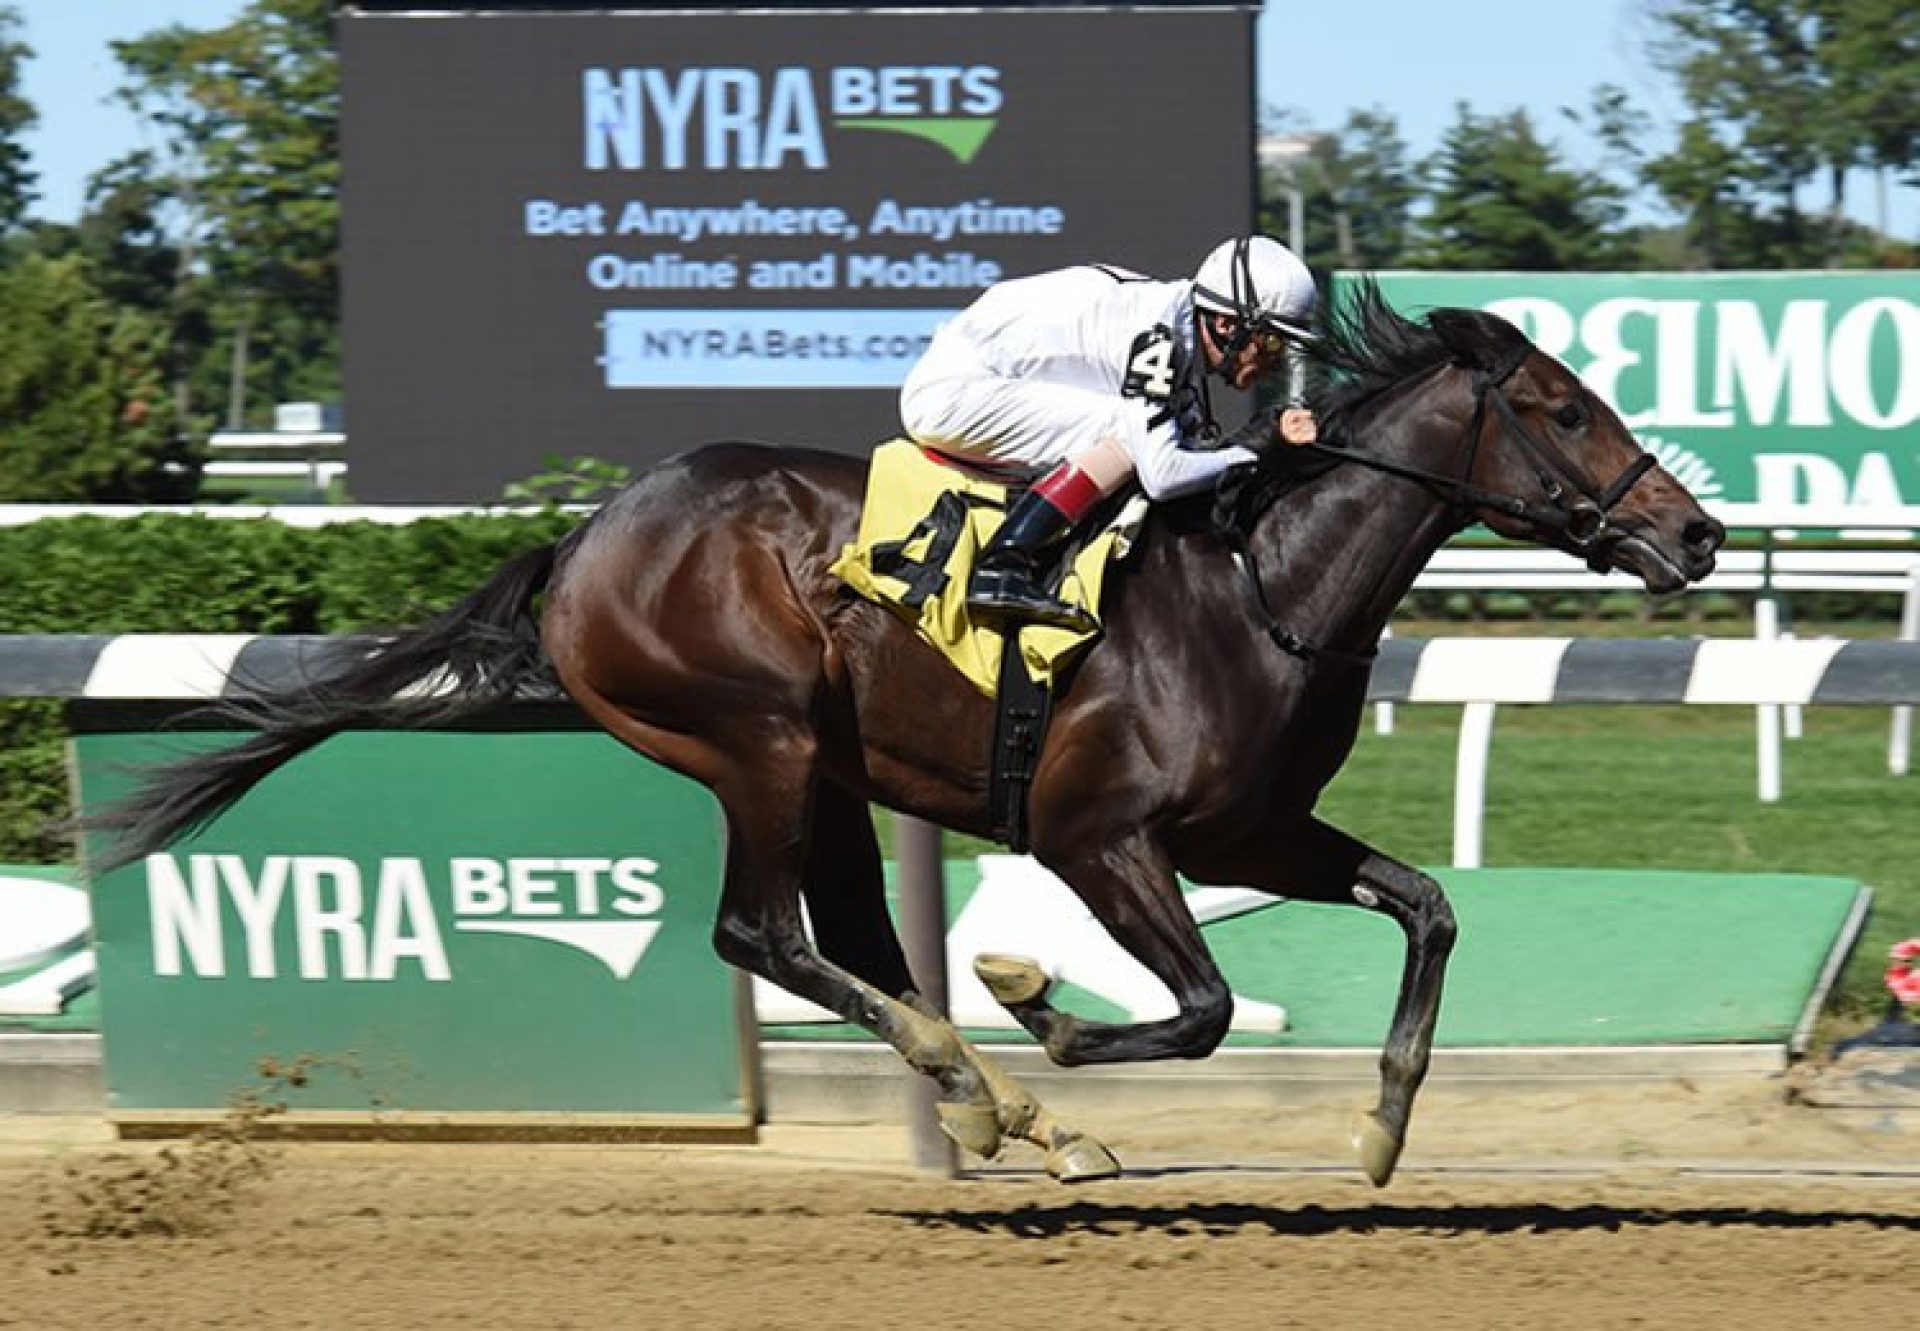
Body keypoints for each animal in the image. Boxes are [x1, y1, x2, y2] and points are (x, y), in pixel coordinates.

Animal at [93, 280, 1728, 1183]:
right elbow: (1199, 1005)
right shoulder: (1095, 833)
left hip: (826, 767)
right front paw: (1040, 1000)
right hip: (756, 738)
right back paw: (999, 1080)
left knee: (857, 944)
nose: (1699, 533)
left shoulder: (1252, 831)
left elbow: (1430, 905)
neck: (1258, 589)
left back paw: (1004, 1107)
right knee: (760, 932)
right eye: (1564, 409)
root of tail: (589, 533)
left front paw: (1381, 1128)